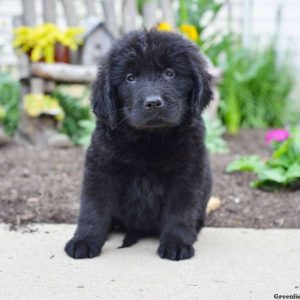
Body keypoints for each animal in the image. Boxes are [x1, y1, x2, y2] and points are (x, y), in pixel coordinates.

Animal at [64, 29, 212, 262]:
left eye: (169, 73)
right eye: (130, 78)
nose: (153, 103)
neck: (149, 139)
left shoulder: (188, 173)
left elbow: (180, 211)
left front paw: (177, 242)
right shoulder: (100, 168)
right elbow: (93, 208)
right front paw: (84, 240)